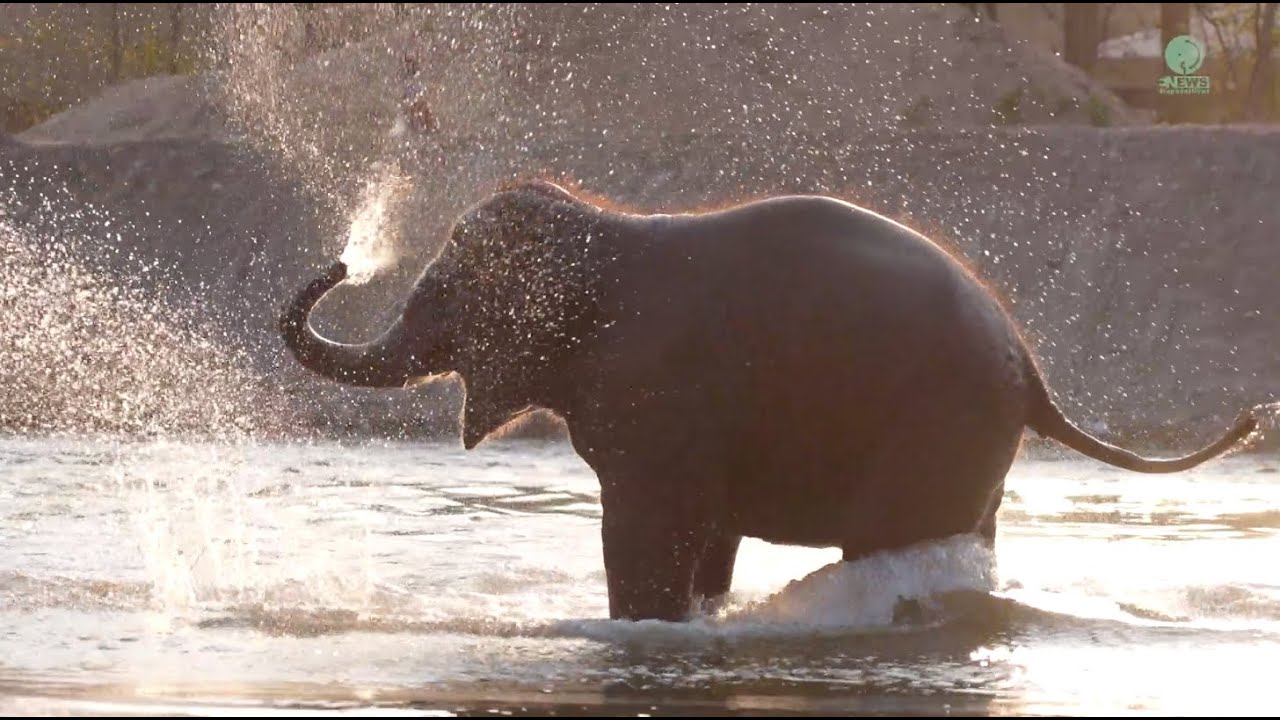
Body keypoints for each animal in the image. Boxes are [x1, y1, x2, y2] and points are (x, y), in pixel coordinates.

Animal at [280, 178, 1261, 622]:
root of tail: (1033, 372)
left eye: (445, 294)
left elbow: (648, 527)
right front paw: (700, 614)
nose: (341, 262)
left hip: (939, 426)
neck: (602, 231)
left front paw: (641, 627)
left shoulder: (655, 400)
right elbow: (706, 532)